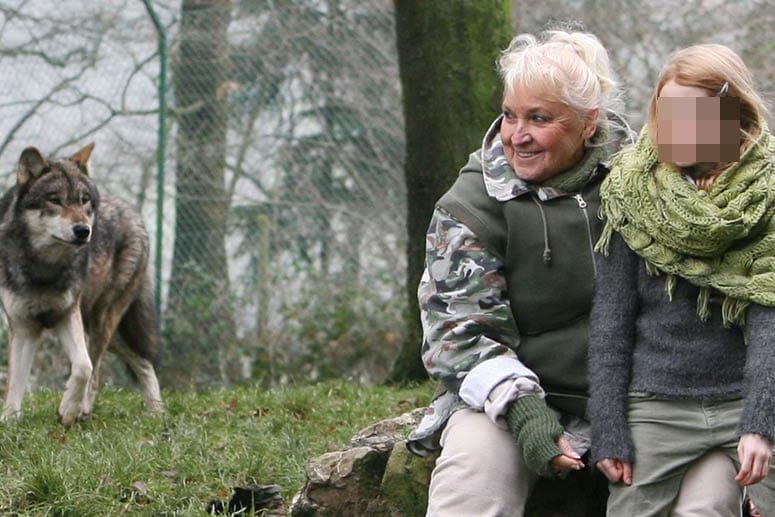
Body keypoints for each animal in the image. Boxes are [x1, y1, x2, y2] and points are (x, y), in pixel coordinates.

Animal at [0, 141, 165, 424]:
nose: (83, 230)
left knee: (98, 372)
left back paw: (85, 410)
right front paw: (9, 421)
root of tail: (134, 214)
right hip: (104, 328)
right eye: (54, 200)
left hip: (102, 322)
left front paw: (67, 409)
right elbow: (14, 385)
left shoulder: (67, 315)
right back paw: (157, 412)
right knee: (142, 361)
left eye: (83, 200)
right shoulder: (23, 327)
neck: (43, 267)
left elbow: (83, 367)